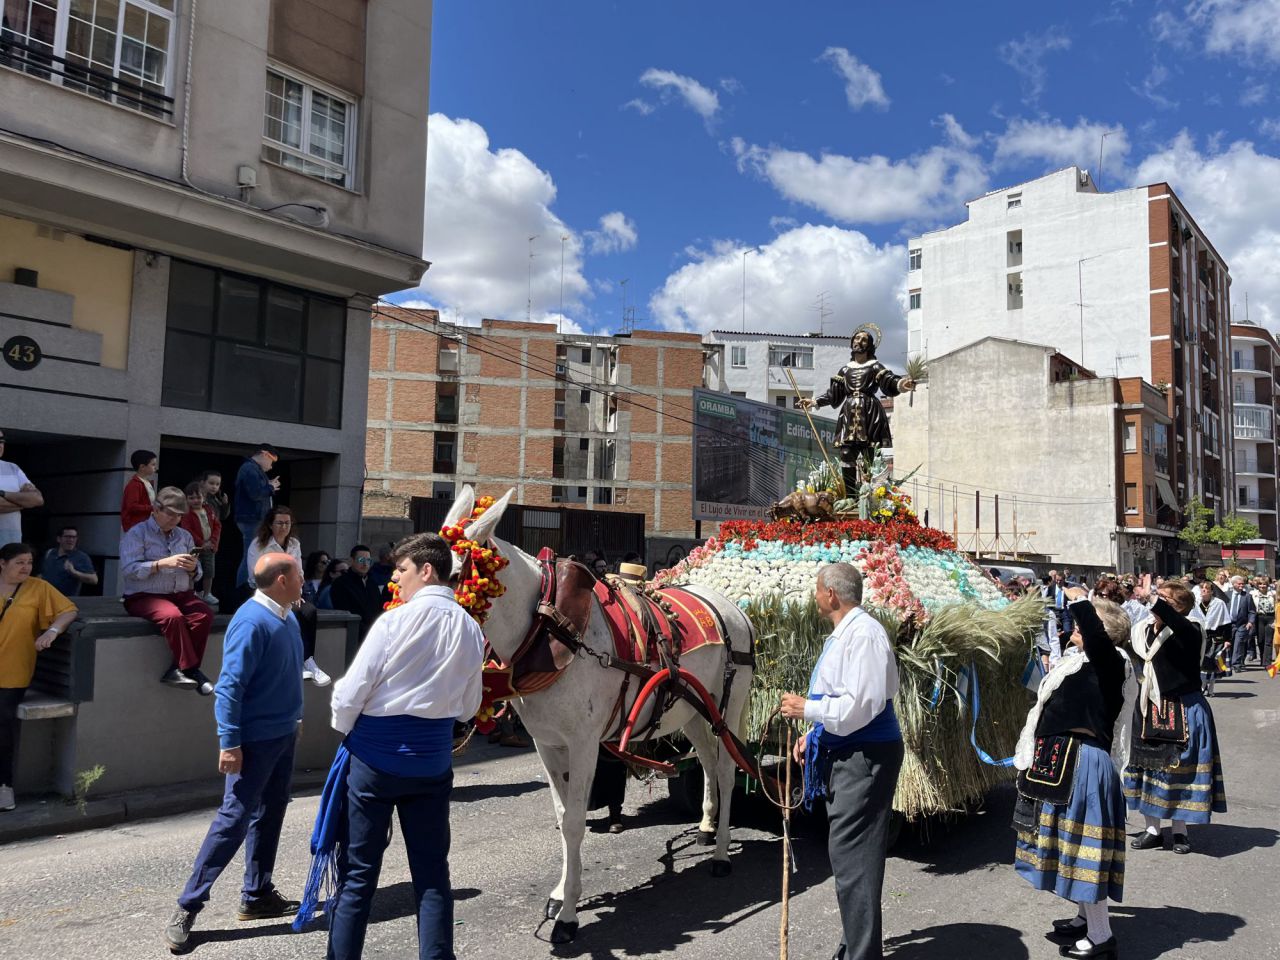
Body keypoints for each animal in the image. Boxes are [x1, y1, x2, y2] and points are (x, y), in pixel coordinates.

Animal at [445, 483, 752, 942]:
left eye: (449, 575)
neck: (548, 626)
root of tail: (733, 608)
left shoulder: (584, 743)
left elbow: (575, 821)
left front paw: (568, 916)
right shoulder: (547, 743)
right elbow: (561, 817)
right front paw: (559, 894)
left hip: (727, 711)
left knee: (729, 773)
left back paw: (720, 853)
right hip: (693, 713)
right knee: (709, 766)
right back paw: (705, 828)